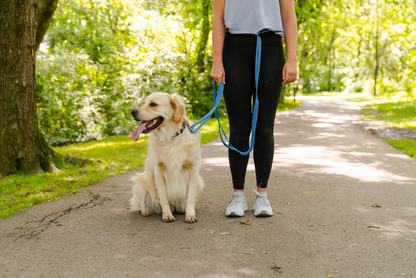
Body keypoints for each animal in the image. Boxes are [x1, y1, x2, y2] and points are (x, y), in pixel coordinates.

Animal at [128, 92, 203, 223]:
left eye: (153, 104)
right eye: (143, 103)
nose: (132, 111)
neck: (171, 138)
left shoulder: (193, 170)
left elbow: (190, 197)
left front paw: (190, 214)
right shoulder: (158, 170)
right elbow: (163, 197)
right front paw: (167, 214)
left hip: (199, 181)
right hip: (140, 185)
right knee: (141, 202)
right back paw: (146, 210)